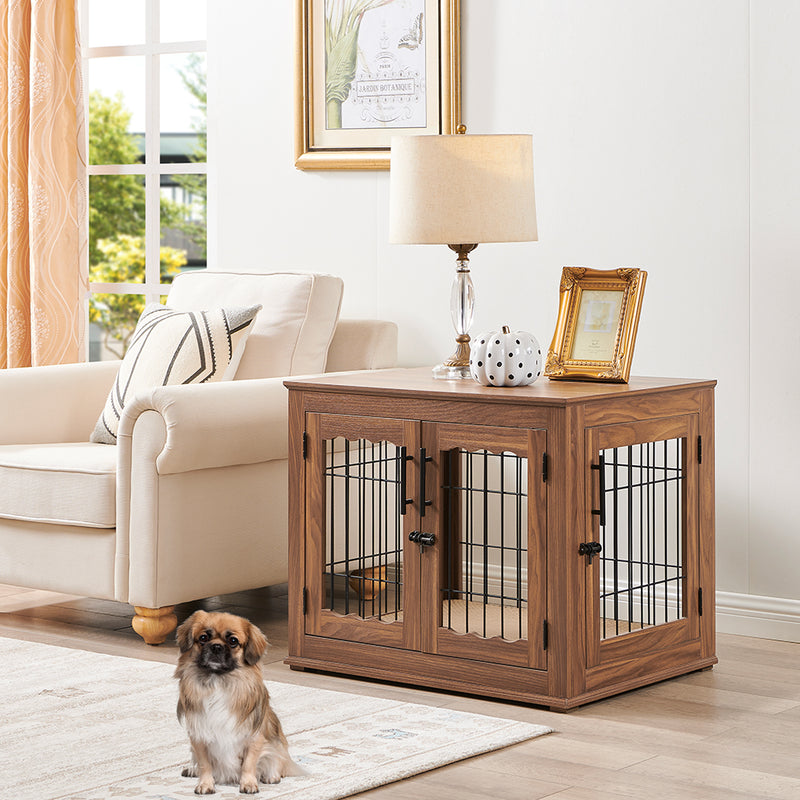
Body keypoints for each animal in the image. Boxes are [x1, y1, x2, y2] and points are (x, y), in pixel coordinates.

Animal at [175, 612, 304, 792]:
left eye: (233, 641)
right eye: (203, 638)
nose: (216, 646)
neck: (219, 681)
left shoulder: (253, 737)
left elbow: (249, 764)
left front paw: (248, 784)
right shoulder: (199, 737)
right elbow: (204, 764)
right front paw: (205, 784)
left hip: (277, 745)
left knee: (278, 761)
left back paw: (272, 776)